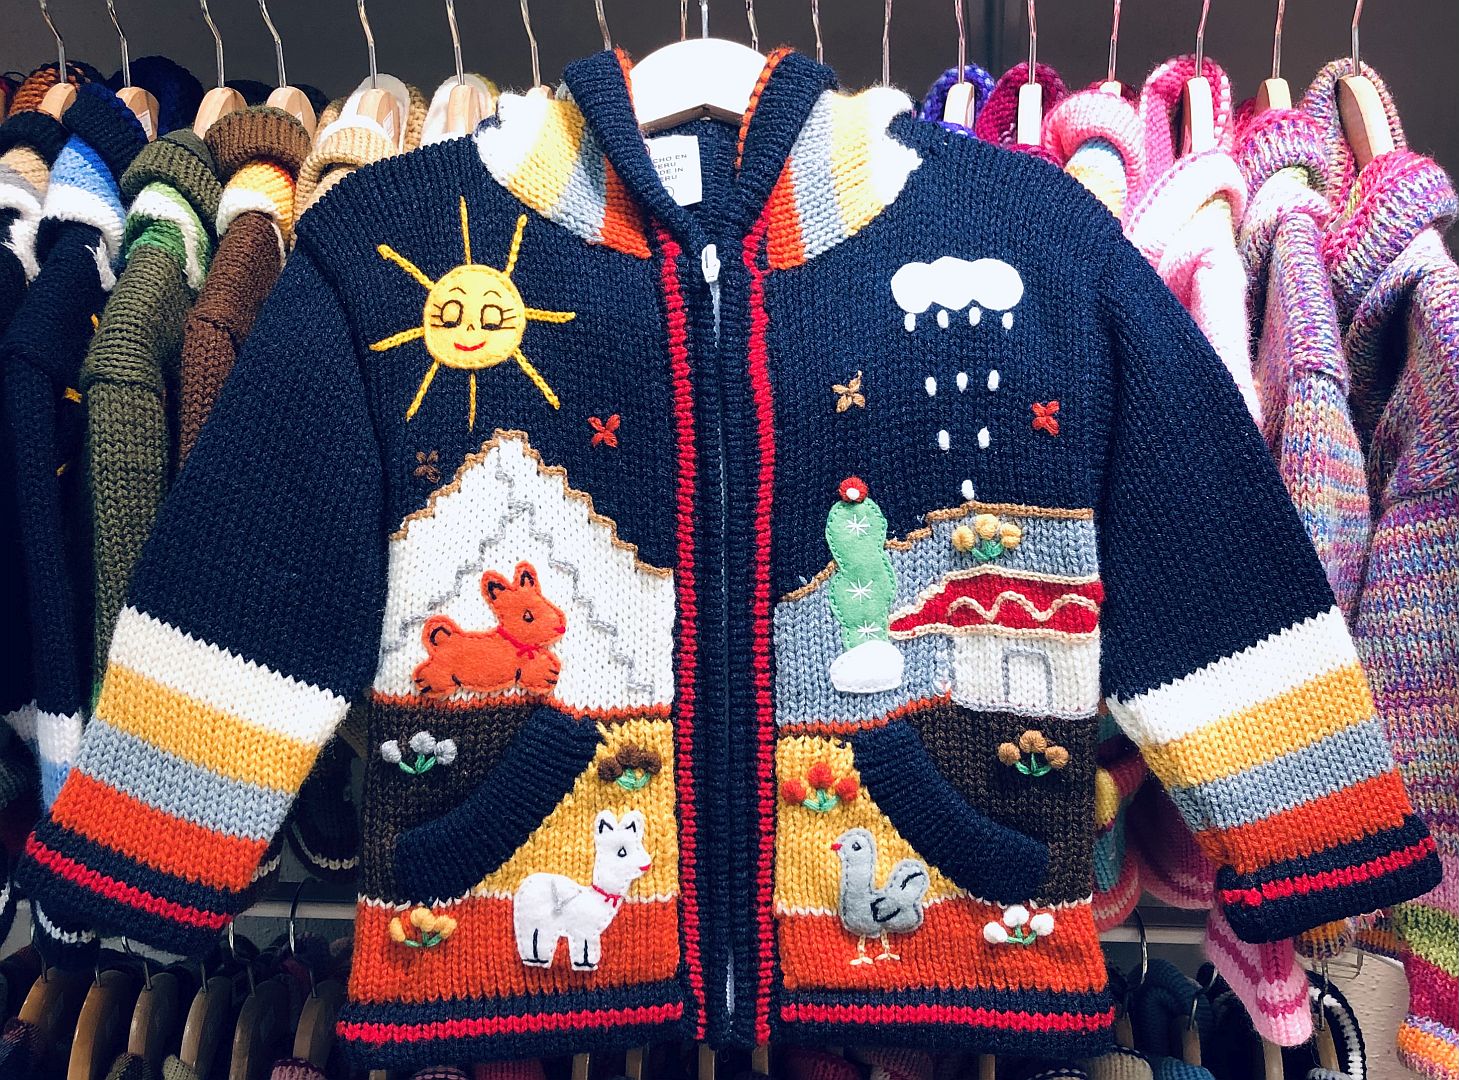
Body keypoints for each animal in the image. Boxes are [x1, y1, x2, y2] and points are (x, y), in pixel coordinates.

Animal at [412, 561, 567, 697]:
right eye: (528, 616)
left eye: (545, 603)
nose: (561, 628)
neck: (513, 642)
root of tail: (444, 638)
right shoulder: (522, 666)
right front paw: (548, 674)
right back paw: (426, 682)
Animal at [513, 809, 651, 971]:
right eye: (622, 852)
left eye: (639, 846)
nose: (647, 864)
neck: (598, 897)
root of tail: (527, 882)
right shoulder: (582, 931)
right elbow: (584, 948)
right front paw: (583, 964)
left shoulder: (589, 933)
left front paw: (587, 963)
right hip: (535, 920)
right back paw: (536, 959)